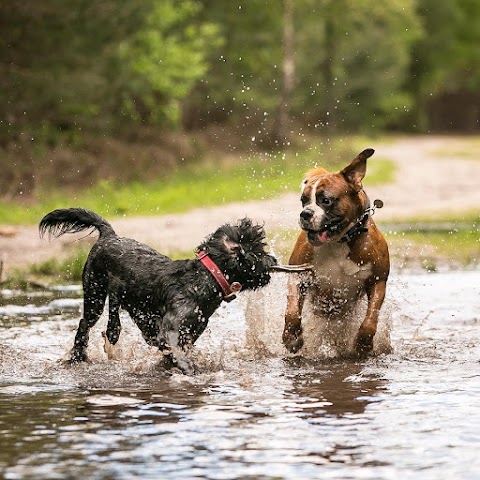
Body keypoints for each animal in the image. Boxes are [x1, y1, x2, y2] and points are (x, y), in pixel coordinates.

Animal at [40, 208, 278, 374]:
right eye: (259, 252)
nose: (274, 260)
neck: (204, 279)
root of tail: (109, 235)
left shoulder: (189, 333)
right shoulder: (171, 329)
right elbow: (177, 353)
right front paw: (191, 370)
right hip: (94, 292)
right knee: (84, 323)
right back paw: (78, 357)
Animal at [282, 148, 390, 354]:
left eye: (326, 200)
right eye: (303, 200)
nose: (305, 213)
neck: (339, 241)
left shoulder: (377, 280)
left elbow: (371, 319)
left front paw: (363, 344)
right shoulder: (298, 275)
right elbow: (291, 312)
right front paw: (292, 337)